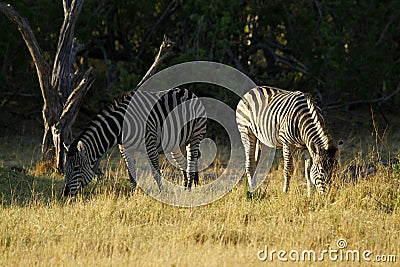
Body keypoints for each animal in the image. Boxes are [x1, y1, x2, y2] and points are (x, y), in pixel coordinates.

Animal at [63, 88, 206, 197]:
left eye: (76, 168)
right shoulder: (125, 150)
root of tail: (188, 91)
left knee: (192, 161)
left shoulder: (150, 145)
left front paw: (162, 194)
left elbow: (156, 173)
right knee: (183, 163)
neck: (121, 126)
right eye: (65, 168)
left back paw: (188, 190)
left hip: (195, 136)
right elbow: (131, 174)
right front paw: (132, 195)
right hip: (174, 144)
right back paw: (185, 187)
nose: (66, 194)